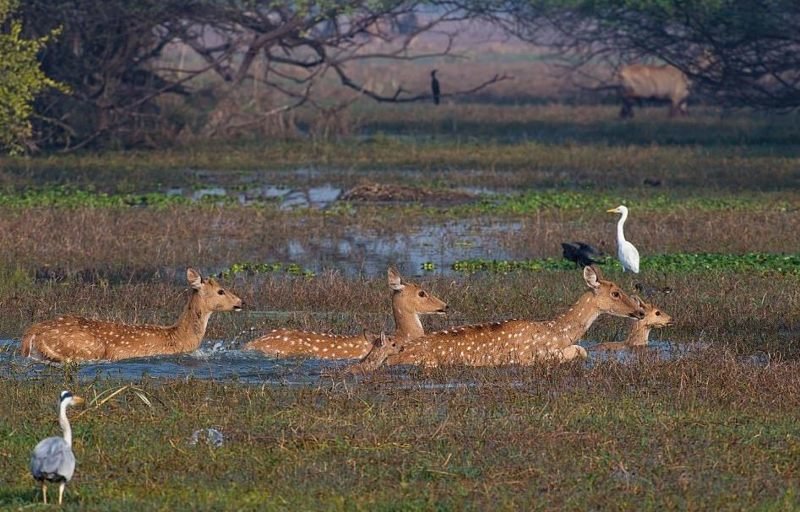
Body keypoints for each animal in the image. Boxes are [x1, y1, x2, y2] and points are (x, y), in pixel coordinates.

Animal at [380, 264, 644, 368]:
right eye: (616, 293)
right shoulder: (530, 355)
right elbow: (580, 351)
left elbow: (581, 349)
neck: (557, 332)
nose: (640, 311)